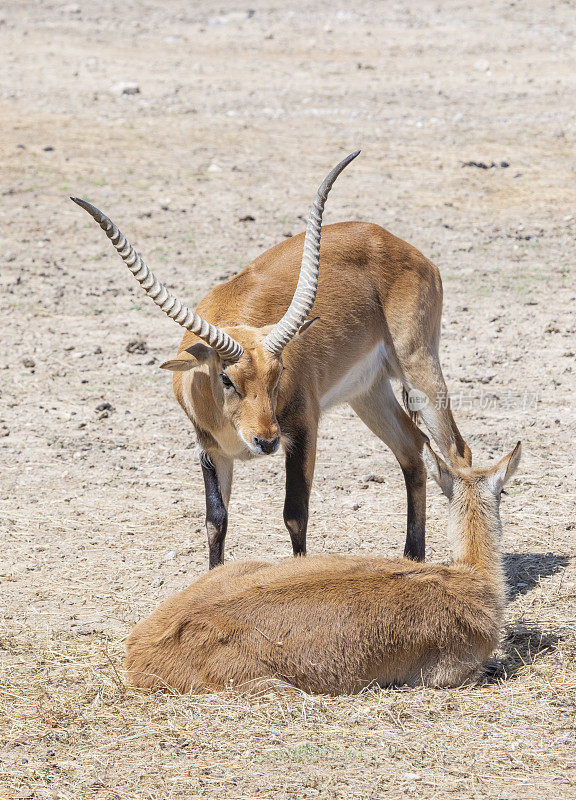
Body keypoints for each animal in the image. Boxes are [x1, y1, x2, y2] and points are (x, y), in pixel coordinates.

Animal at [72, 148, 470, 564]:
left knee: (457, 453)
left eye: (278, 375)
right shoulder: (210, 450)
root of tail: (390, 240)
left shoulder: (302, 430)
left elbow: (295, 514)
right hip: (368, 391)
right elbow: (215, 520)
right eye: (226, 378)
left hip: (419, 367)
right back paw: (412, 558)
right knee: (413, 450)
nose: (265, 442)